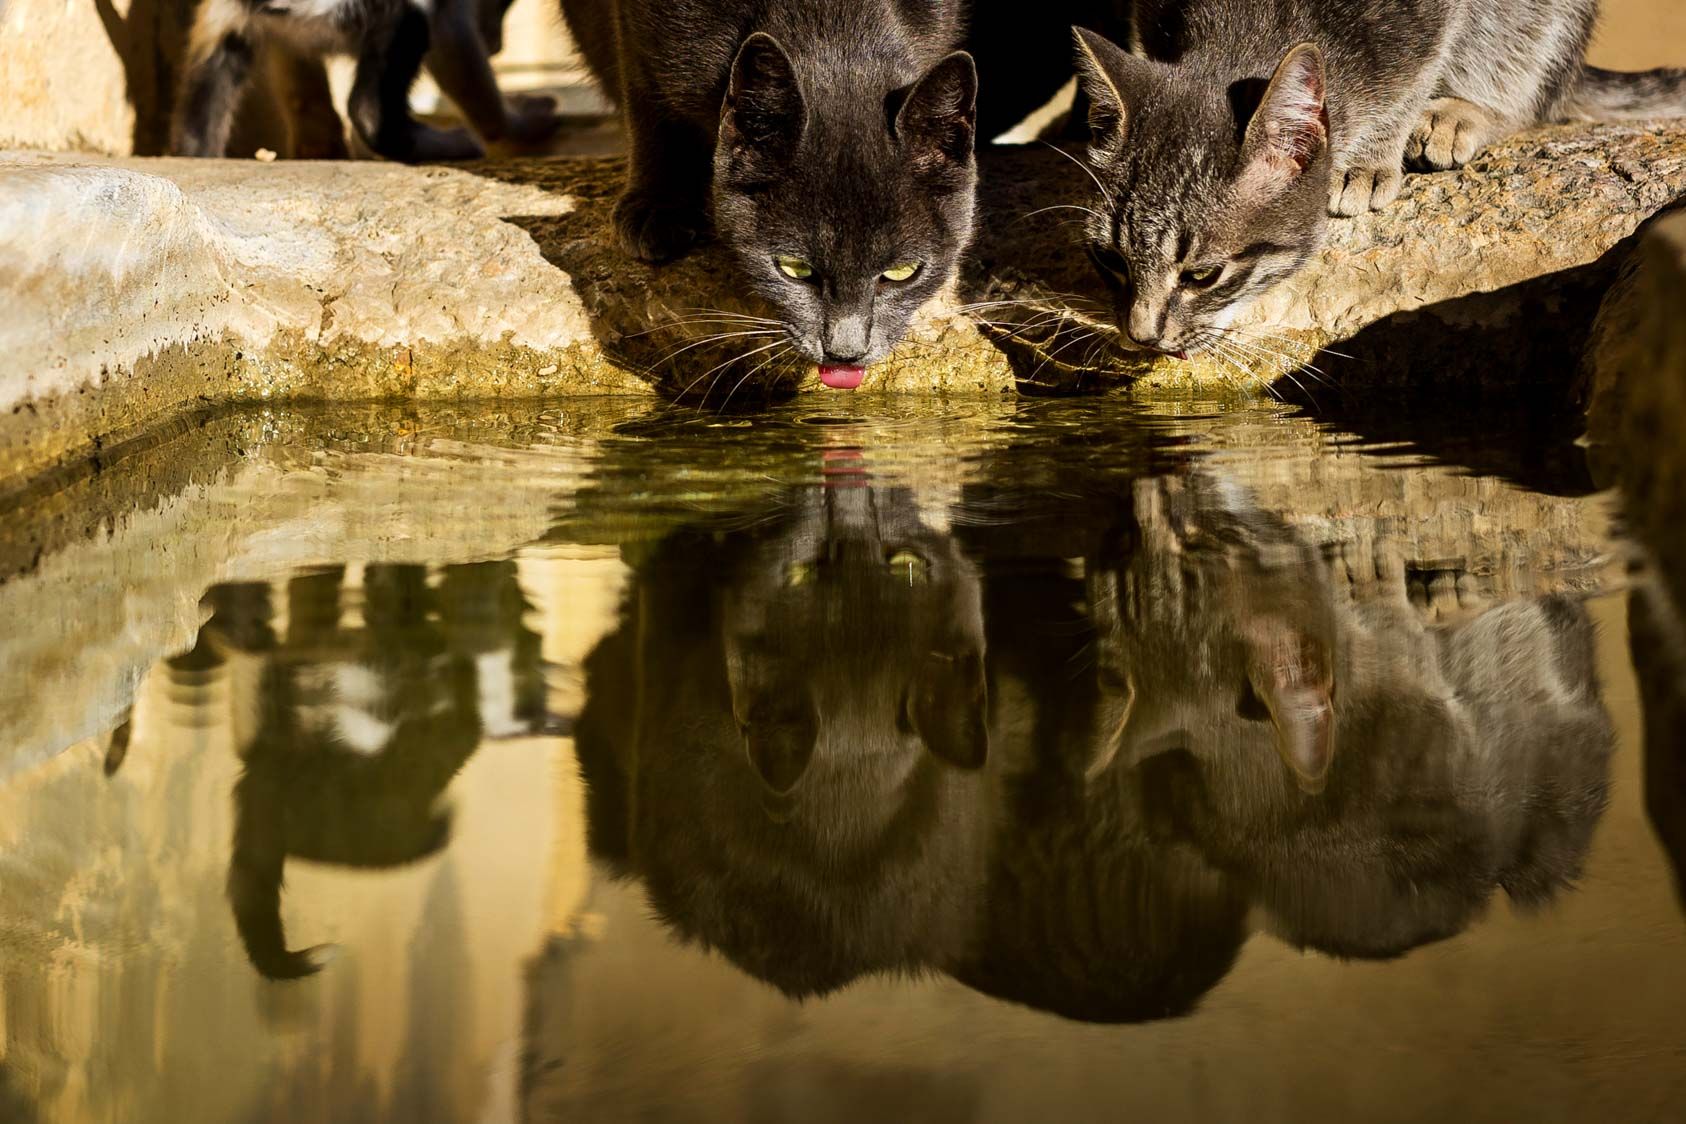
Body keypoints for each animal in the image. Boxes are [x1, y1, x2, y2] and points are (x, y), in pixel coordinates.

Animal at [556, 1, 977, 387]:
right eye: (794, 268)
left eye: (902, 273)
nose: (845, 353)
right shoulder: (638, 25)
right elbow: (646, 97)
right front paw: (656, 207)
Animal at [1065, 0, 1686, 358]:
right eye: (1110, 259)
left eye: (1203, 275)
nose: (1140, 336)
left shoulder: (1428, 20)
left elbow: (1411, 77)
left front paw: (1370, 156)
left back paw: (1460, 113)